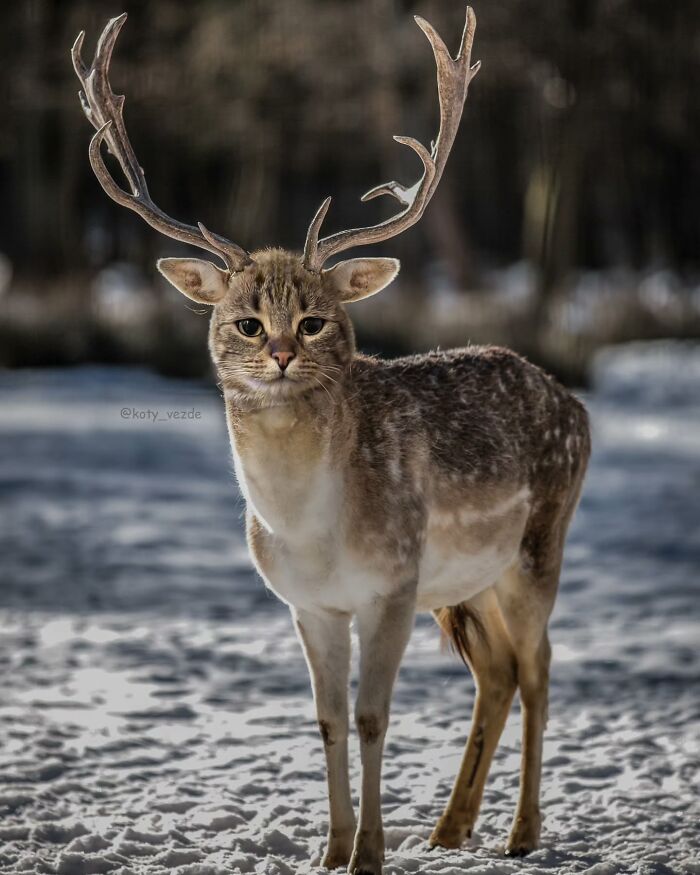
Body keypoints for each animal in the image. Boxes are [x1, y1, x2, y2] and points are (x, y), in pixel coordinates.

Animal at [72, 7, 590, 874]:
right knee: (498, 671)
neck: (312, 530)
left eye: (316, 318)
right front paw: (331, 848)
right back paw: (451, 828)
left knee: (541, 668)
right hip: (465, 582)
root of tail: (577, 405)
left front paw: (370, 853)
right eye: (246, 319)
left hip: (536, 544)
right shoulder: (309, 603)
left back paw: (521, 833)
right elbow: (326, 719)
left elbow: (374, 716)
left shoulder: (391, 584)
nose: (282, 351)